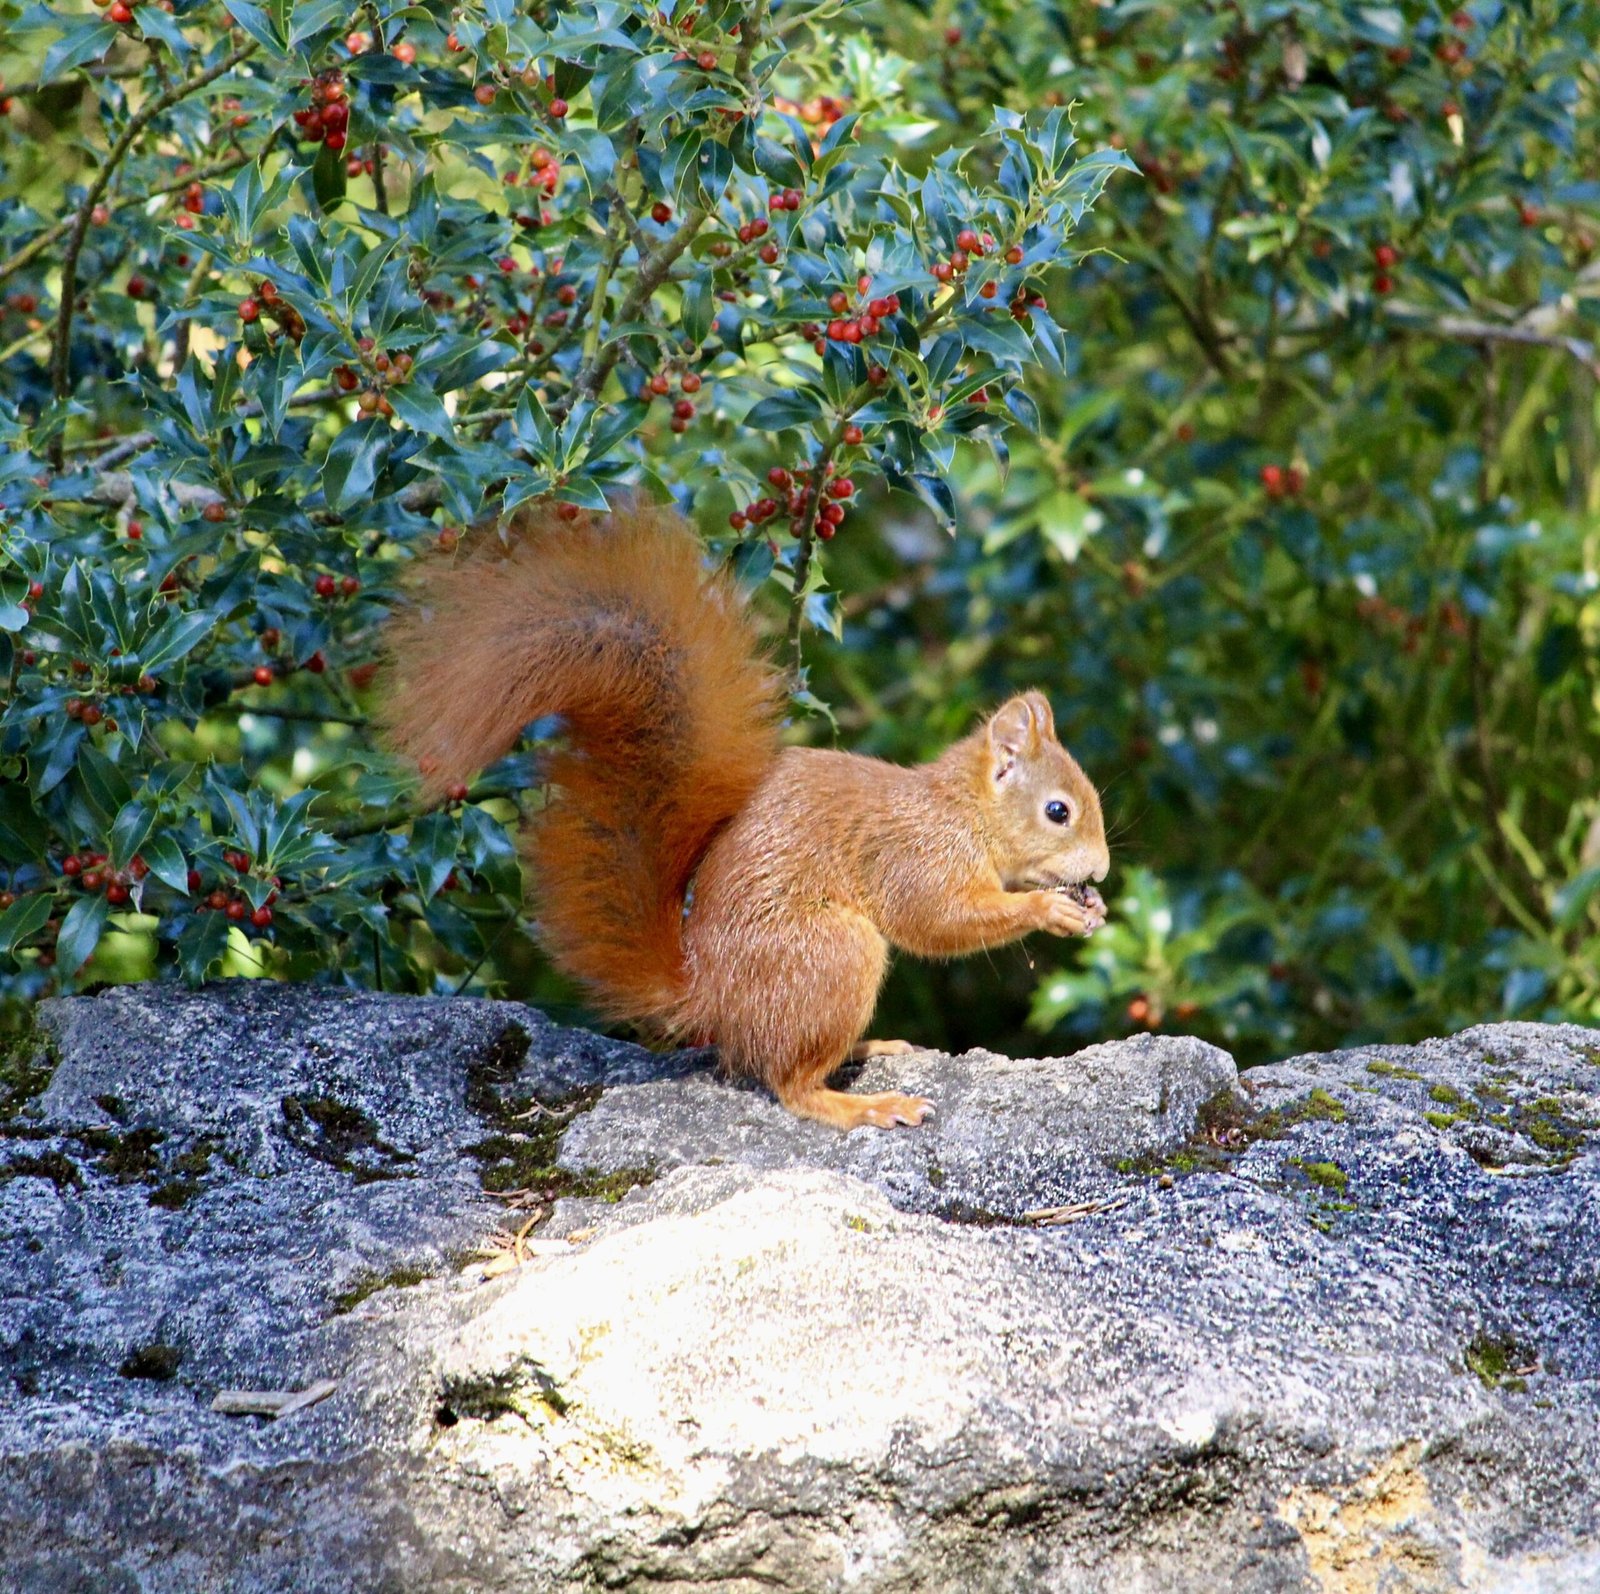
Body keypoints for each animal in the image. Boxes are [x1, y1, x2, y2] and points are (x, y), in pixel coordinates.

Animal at [379, 501, 1110, 1131]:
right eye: (1058, 811)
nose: (1102, 870)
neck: (960, 812)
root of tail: (709, 998)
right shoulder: (917, 856)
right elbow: (938, 920)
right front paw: (1048, 909)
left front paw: (1089, 907)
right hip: (834, 954)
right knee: (789, 1082)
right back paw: (862, 1104)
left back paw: (869, 1049)